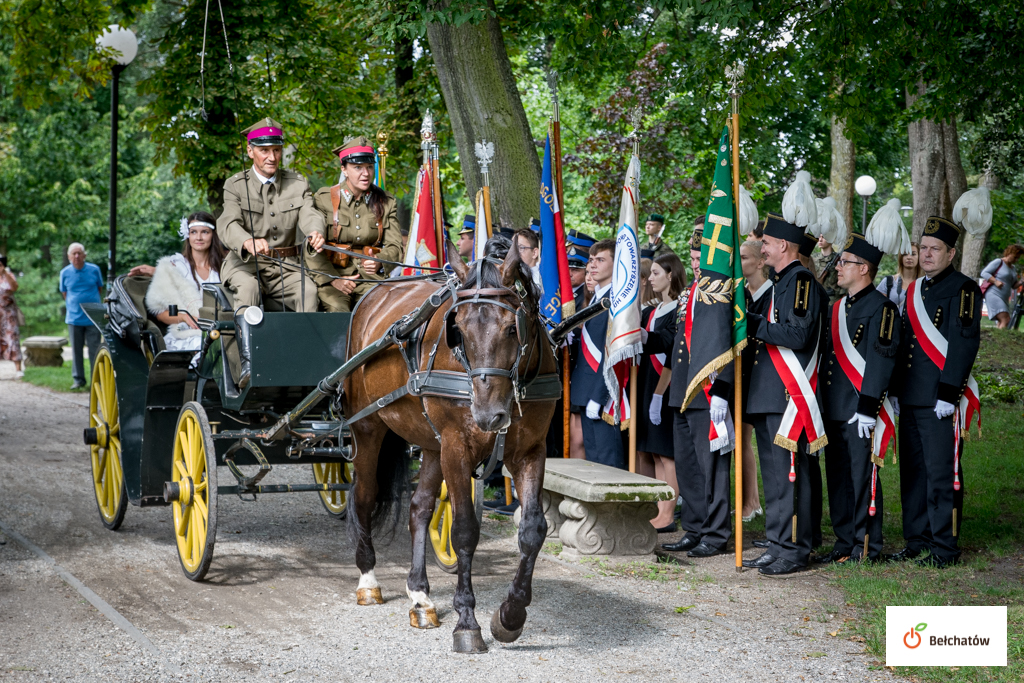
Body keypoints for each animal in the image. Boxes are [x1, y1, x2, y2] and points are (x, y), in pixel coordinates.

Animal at [344, 237, 557, 655]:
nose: (489, 416)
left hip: (430, 443)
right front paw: (467, 621)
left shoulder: (530, 449)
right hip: (367, 428)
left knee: (420, 508)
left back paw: (420, 596)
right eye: (457, 329)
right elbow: (463, 532)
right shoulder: (457, 448)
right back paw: (368, 580)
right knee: (363, 496)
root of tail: (373, 294)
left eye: (512, 328)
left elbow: (532, 530)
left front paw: (510, 616)